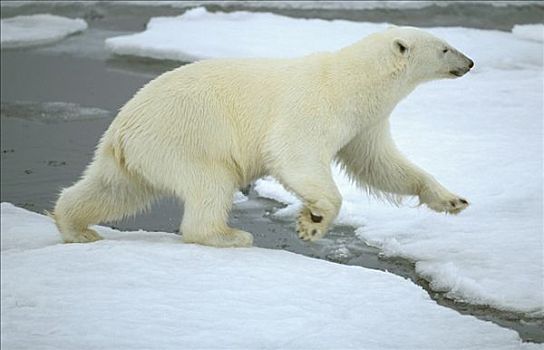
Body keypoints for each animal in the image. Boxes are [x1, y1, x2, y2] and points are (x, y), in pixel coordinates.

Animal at [53, 26, 474, 247]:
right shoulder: (315, 106)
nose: (470, 62)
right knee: (210, 184)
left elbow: (380, 164)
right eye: (445, 48)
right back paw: (230, 235)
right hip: (184, 138)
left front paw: (452, 200)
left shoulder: (363, 124)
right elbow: (294, 154)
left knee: (113, 189)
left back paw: (78, 228)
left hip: (138, 155)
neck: (352, 83)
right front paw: (313, 222)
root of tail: (122, 128)